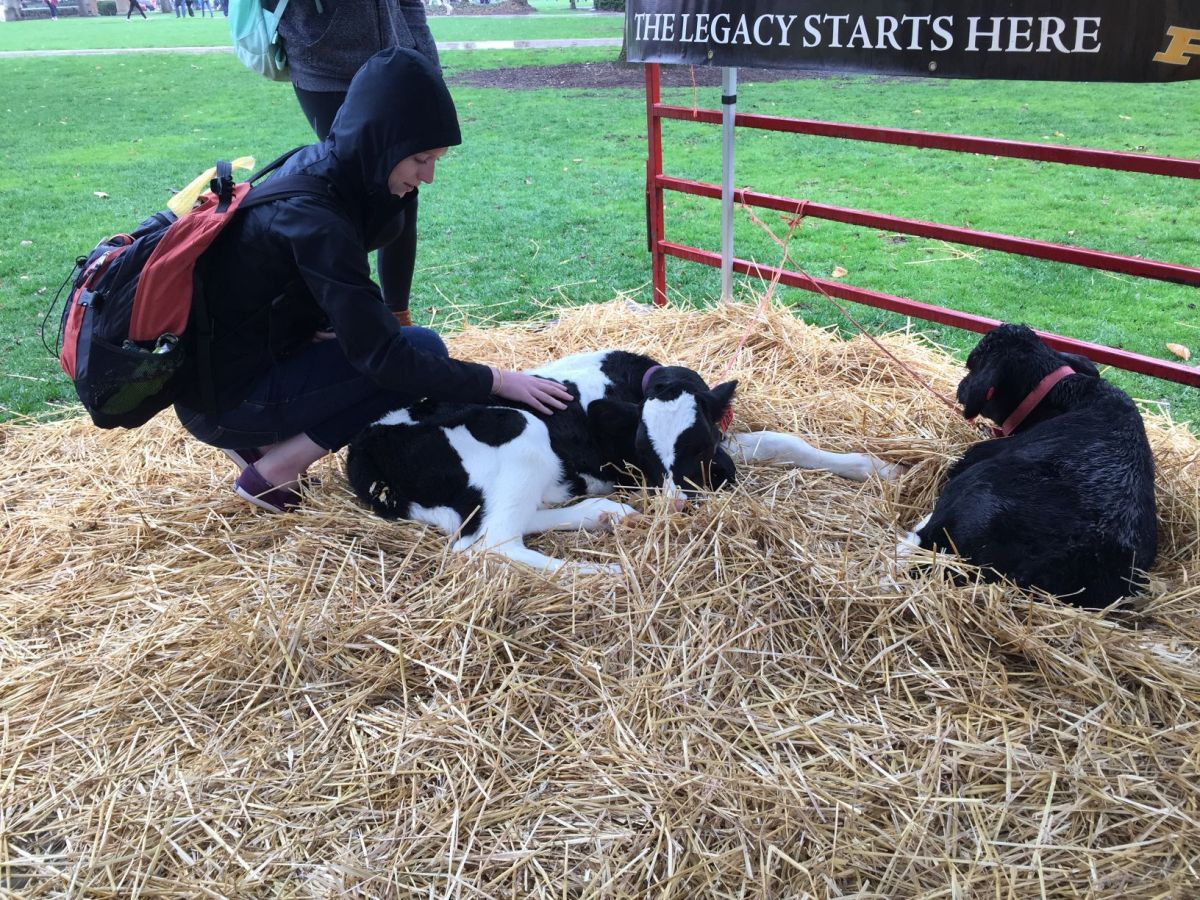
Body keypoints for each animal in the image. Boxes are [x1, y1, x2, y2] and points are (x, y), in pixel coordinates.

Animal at [348, 348, 902, 573]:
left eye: (699, 447)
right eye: (643, 455)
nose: (676, 507)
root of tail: (364, 447)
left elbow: (779, 441)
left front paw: (875, 468)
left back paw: (603, 516)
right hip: (520, 433)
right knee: (489, 543)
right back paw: (604, 574)